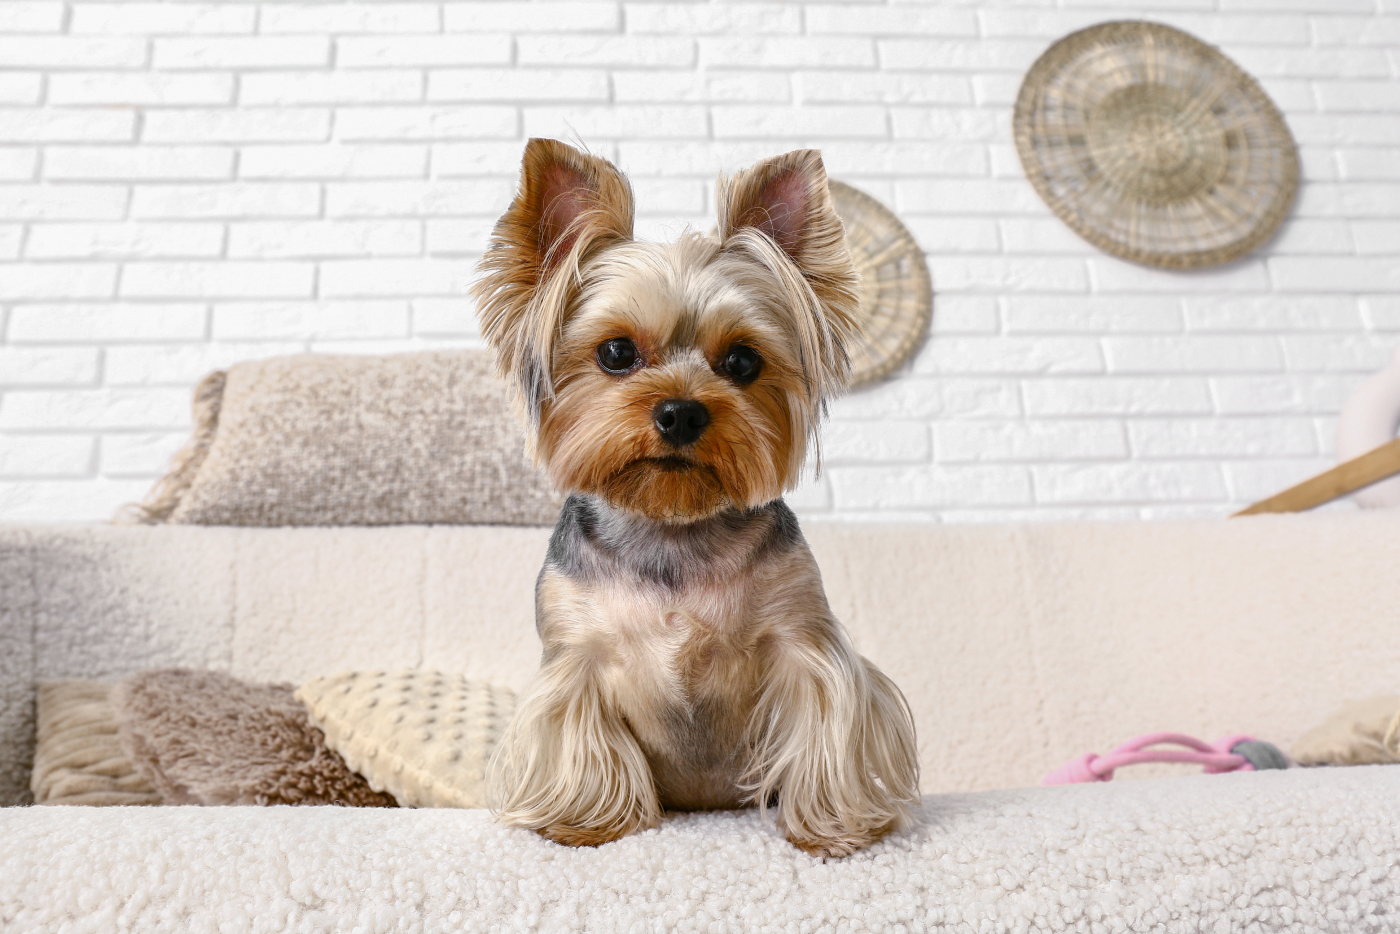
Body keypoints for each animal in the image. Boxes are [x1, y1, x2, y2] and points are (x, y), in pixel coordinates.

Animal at [476, 138, 924, 862]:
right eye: (616, 352)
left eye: (742, 362)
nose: (682, 412)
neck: (673, 526)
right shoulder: (575, 658)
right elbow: (581, 735)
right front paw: (586, 822)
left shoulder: (804, 639)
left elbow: (825, 723)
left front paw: (832, 829)